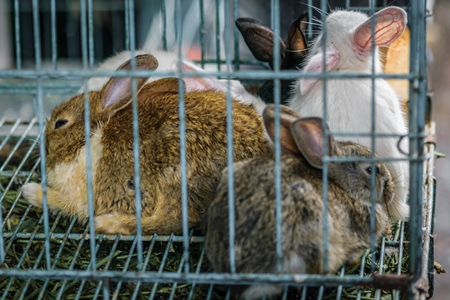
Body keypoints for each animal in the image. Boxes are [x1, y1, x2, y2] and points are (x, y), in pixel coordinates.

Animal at [21, 54, 268, 237]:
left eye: (60, 123)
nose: (41, 147)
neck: (90, 137)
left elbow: (61, 202)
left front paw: (30, 191)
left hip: (175, 174)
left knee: (175, 219)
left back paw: (108, 223)